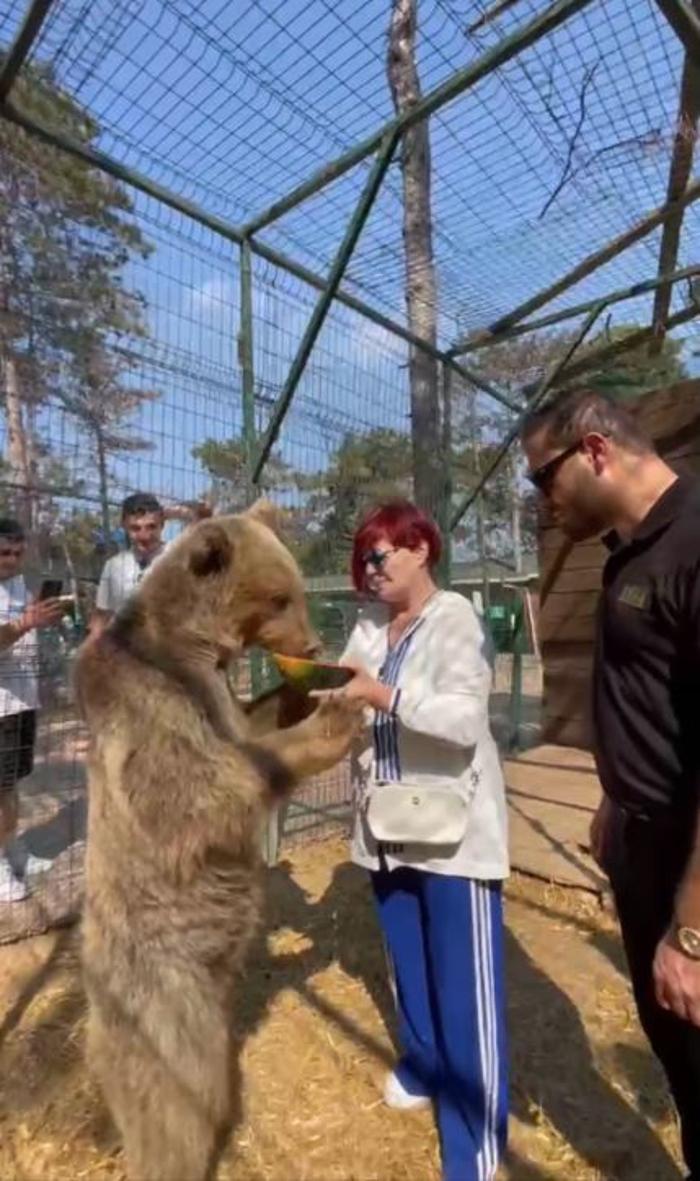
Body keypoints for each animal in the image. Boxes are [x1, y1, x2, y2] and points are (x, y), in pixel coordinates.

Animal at [75, 500, 361, 1181]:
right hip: (160, 993)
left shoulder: (220, 693)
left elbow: (250, 720)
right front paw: (333, 716)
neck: (191, 648)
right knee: (175, 1092)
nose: (313, 645)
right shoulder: (152, 705)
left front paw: (301, 690)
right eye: (281, 596)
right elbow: (202, 786)